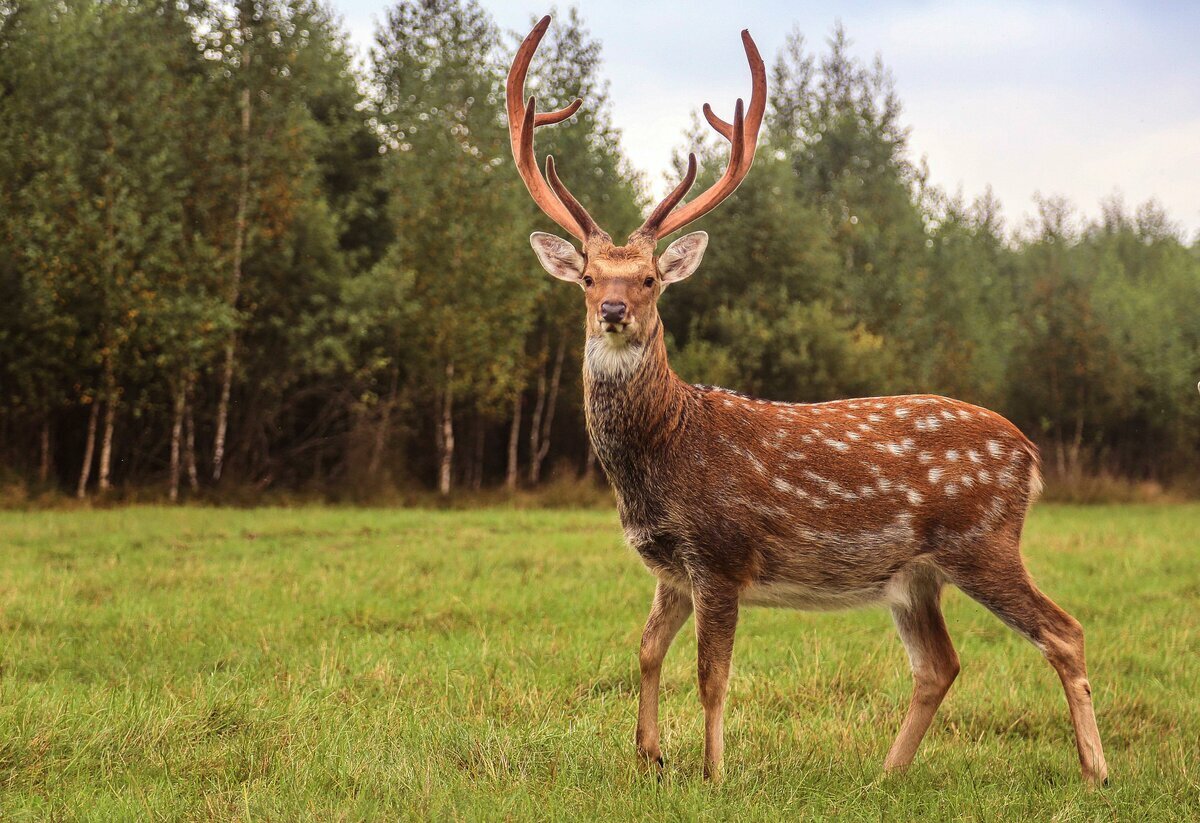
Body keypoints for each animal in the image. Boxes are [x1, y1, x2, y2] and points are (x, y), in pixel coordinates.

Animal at [506, 12, 1104, 787]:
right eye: (585, 277)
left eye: (649, 279)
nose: (613, 309)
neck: (663, 455)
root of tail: (1029, 454)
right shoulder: (671, 567)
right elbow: (645, 651)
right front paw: (649, 756)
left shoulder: (721, 551)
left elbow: (712, 674)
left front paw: (713, 772)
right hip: (915, 576)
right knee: (940, 664)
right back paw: (886, 773)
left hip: (983, 540)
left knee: (1064, 630)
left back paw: (1095, 772)